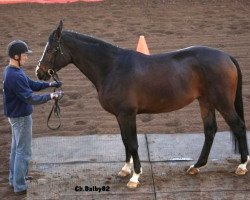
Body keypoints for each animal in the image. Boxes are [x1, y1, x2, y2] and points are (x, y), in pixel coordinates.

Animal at [36, 21, 249, 188]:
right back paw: (196, 167)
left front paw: (135, 177)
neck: (112, 67)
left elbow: (132, 143)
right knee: (210, 130)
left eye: (52, 49)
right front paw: (125, 170)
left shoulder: (127, 114)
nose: (40, 72)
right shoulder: (120, 116)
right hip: (205, 102)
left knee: (238, 126)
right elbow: (125, 141)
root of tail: (226, 56)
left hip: (222, 102)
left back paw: (241, 166)